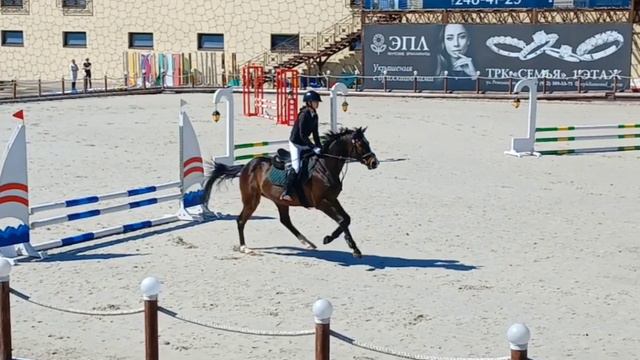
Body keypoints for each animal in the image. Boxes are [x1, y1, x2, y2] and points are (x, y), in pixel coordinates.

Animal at [202, 128, 378, 258]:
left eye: (368, 142)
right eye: (361, 144)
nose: (374, 163)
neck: (325, 166)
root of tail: (246, 166)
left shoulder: (332, 199)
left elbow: (346, 219)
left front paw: (354, 248)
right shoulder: (320, 202)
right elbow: (341, 220)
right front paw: (329, 239)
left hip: (280, 201)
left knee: (285, 221)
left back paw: (307, 243)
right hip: (252, 200)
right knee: (240, 220)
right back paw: (244, 247)